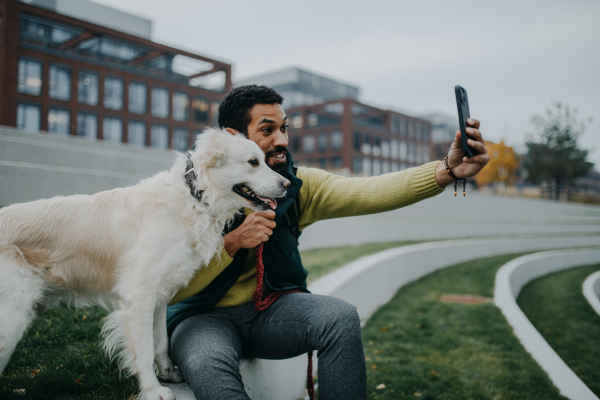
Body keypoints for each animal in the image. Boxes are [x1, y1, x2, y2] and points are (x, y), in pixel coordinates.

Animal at [0, 128, 290, 400]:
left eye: (263, 160)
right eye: (253, 162)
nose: (287, 183)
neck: (194, 199)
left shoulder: (160, 298)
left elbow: (160, 343)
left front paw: (168, 373)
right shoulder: (138, 297)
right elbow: (144, 351)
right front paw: (153, 390)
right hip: (12, 317)